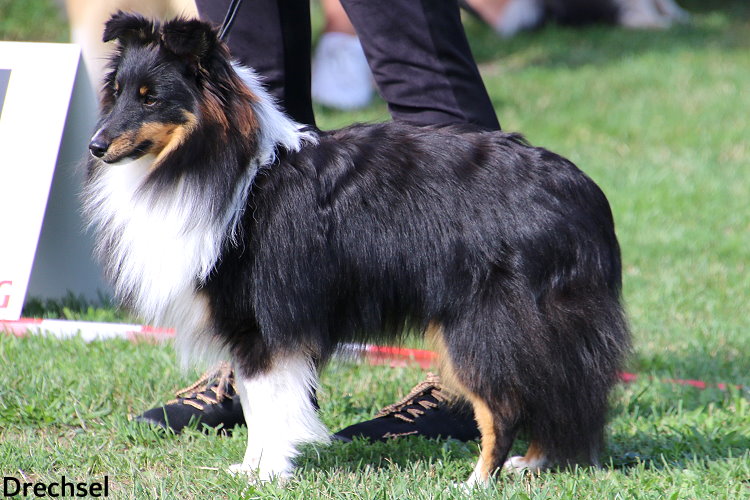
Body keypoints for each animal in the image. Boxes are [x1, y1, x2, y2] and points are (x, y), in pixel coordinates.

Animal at [85, 11, 632, 486]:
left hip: (484, 323)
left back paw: (476, 481)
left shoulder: (262, 325)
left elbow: (269, 409)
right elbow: (260, 406)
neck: (218, 161)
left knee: (507, 406)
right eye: (117, 92)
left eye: (151, 98)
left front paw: (268, 473)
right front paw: (252, 470)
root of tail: (583, 190)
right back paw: (534, 462)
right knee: (558, 394)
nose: (94, 146)